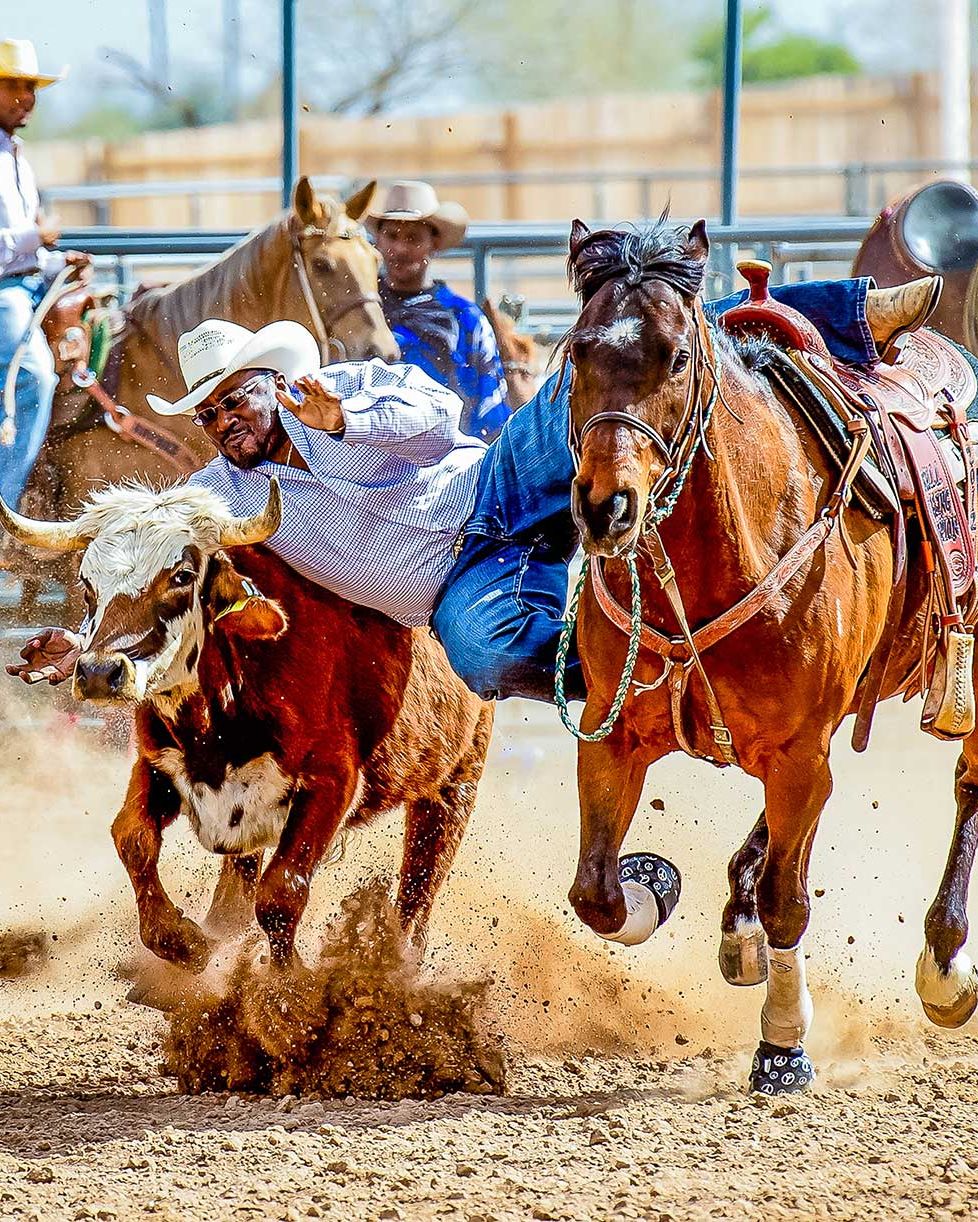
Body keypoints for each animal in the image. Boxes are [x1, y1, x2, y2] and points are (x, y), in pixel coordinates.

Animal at [562, 215, 978, 1094]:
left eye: (675, 357)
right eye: (578, 352)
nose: (607, 507)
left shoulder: (795, 754)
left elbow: (796, 901)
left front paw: (784, 1044)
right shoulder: (612, 737)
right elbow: (596, 894)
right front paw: (657, 884)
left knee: (969, 785)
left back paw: (945, 964)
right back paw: (739, 914)